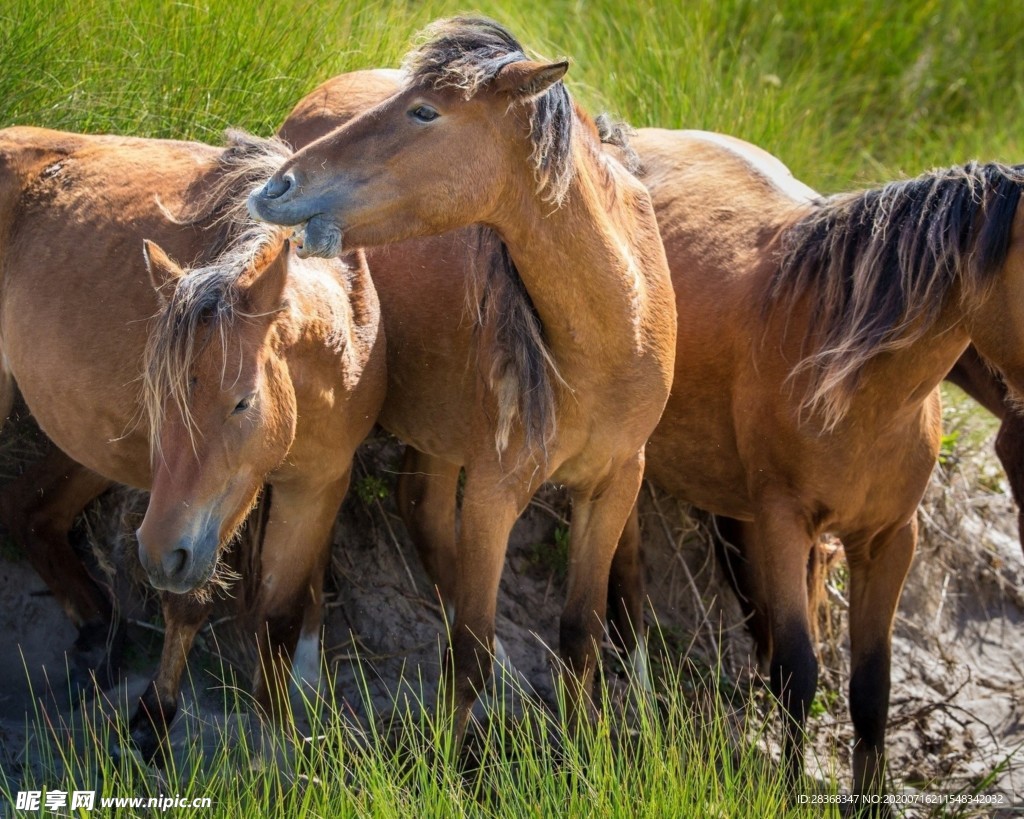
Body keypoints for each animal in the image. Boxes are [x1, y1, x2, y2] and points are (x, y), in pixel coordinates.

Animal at [0, 126, 386, 759]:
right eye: (159, 396)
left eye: (243, 402)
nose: (160, 555)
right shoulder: (184, 518)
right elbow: (187, 601)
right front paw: (153, 720)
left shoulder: (317, 487)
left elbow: (279, 616)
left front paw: (279, 739)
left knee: (31, 513)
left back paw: (97, 641)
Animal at [249, 17, 678, 740]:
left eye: (425, 111)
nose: (278, 185)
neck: (616, 327)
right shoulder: (492, 493)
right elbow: (468, 650)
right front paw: (450, 756)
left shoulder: (616, 481)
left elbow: (581, 633)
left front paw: (588, 748)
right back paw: (306, 674)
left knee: (417, 505)